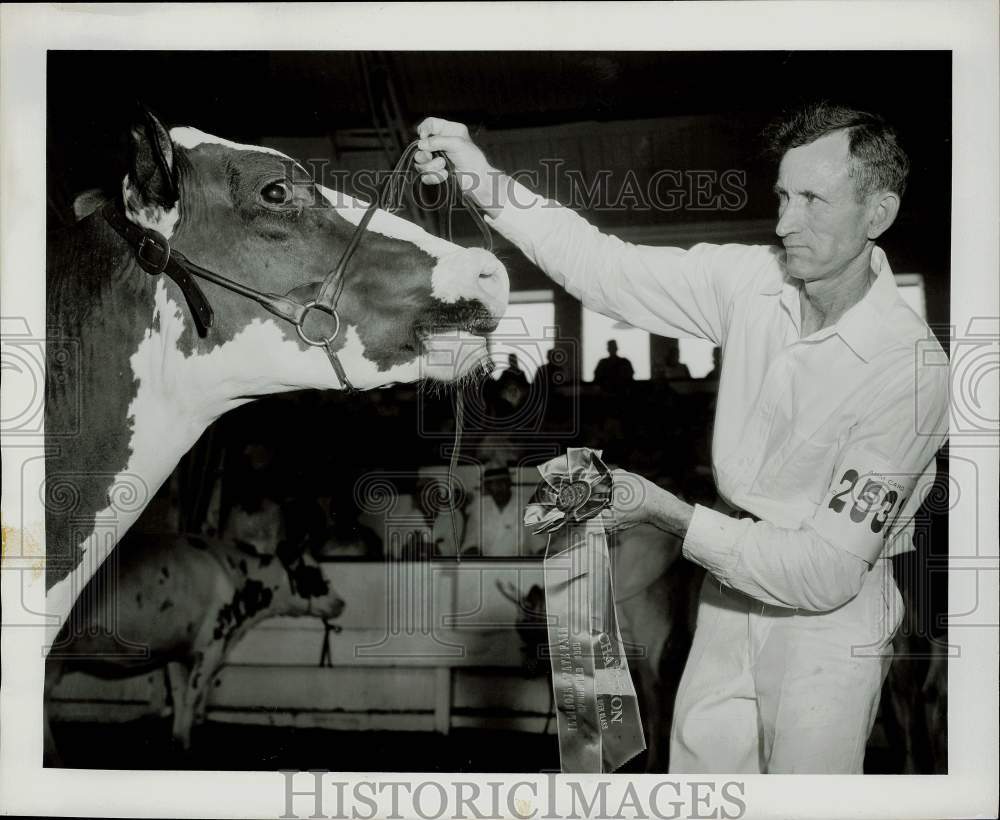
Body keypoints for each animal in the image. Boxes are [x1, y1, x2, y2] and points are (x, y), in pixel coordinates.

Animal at [44, 532, 344, 764]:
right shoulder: (211, 645)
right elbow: (191, 694)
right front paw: (186, 742)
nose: (341, 603)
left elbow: (178, 694)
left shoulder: (177, 649)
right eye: (314, 573)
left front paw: (179, 740)